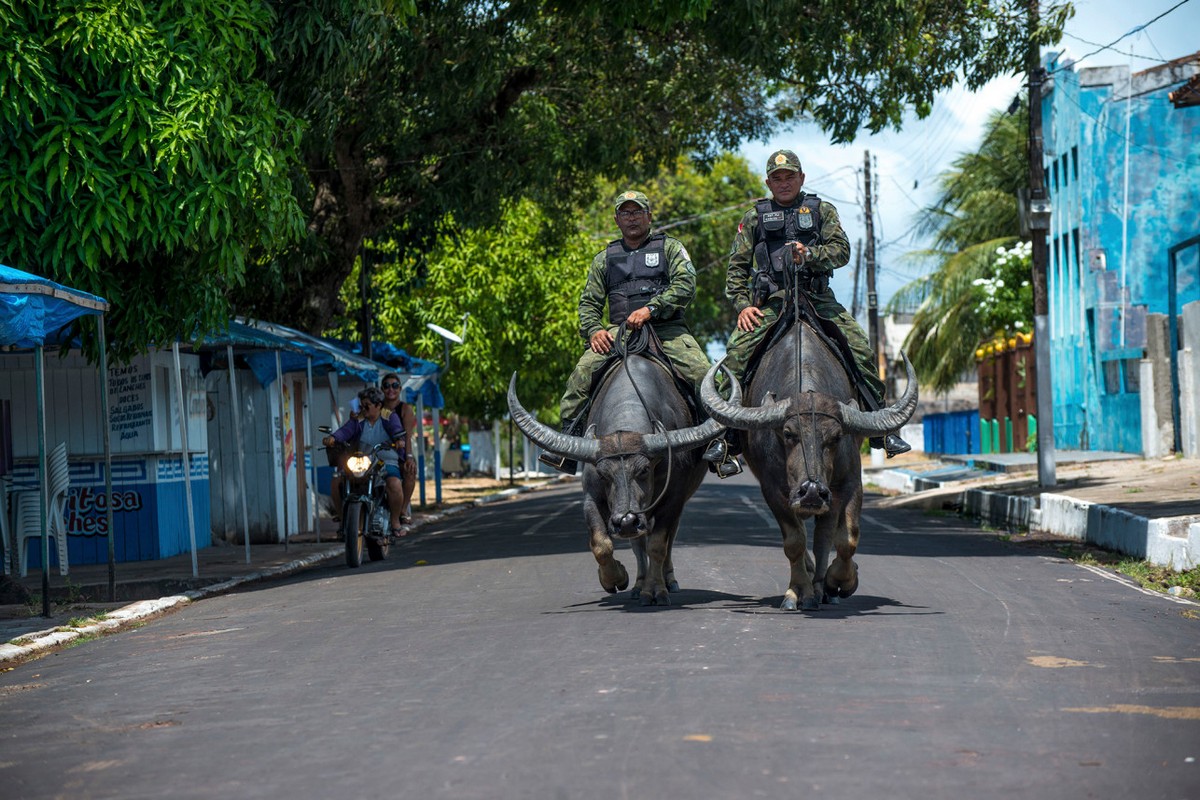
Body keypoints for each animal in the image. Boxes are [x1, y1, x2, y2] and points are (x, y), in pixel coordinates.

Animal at [506, 357, 729, 606]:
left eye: (644, 470)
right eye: (603, 474)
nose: (626, 521)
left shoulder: (673, 499)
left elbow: (658, 546)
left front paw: (657, 591)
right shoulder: (592, 498)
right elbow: (601, 544)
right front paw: (616, 579)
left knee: (667, 539)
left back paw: (667, 581)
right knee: (638, 544)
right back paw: (639, 585)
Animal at [700, 321, 912, 609]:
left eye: (836, 437)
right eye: (788, 433)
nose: (811, 491)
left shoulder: (848, 483)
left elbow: (846, 539)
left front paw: (840, 582)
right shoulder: (774, 490)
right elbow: (795, 541)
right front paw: (798, 591)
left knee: (824, 535)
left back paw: (823, 587)